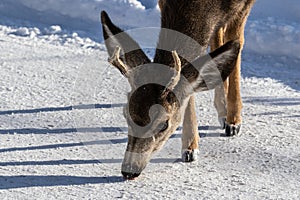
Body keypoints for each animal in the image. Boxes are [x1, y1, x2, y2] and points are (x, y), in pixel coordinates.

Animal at [101, 0, 255, 180]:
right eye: (126, 115)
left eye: (163, 124)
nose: (129, 170)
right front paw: (190, 146)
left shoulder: (244, 7)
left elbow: (238, 43)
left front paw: (234, 121)